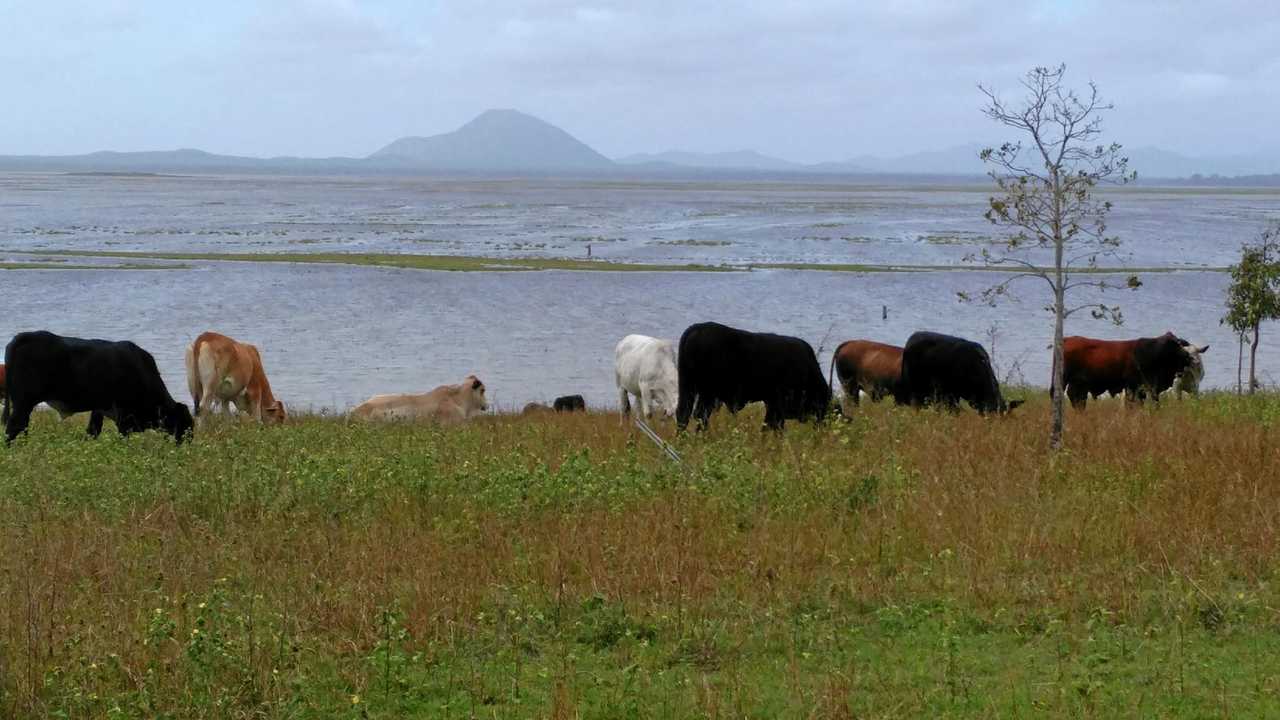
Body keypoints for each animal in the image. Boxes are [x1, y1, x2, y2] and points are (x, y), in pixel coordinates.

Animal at [3, 327, 193, 440]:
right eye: (185, 426)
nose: (187, 443)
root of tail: (24, 336)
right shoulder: (124, 416)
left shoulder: (99, 409)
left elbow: (93, 431)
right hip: (23, 402)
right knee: (14, 426)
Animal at [675, 320, 824, 430]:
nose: (820, 424)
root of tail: (696, 329)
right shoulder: (777, 403)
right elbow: (775, 425)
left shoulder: (771, 402)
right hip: (707, 393)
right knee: (700, 415)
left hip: (688, 387)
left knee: (684, 414)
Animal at [1054, 333, 1192, 409]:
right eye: (1175, 346)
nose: (1188, 357)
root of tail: (1067, 339)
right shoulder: (1133, 385)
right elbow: (1131, 404)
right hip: (1064, 379)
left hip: (1078, 383)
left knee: (1076, 398)